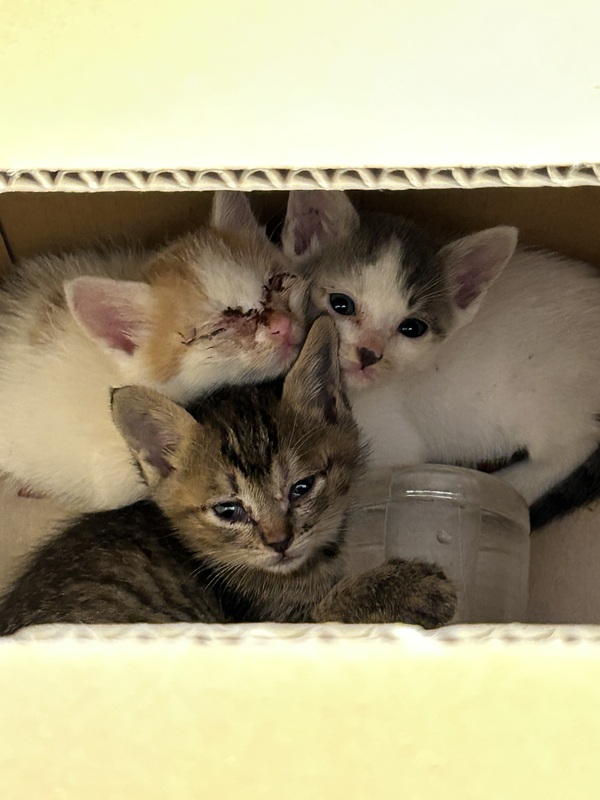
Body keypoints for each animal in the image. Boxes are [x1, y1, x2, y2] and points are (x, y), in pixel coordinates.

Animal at [0, 318, 456, 634]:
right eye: (228, 510)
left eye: (302, 488)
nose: (279, 542)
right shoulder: (269, 625)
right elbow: (325, 614)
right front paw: (404, 589)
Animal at [281, 190, 600, 529]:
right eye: (341, 304)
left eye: (412, 328)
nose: (369, 353)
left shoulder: (397, 446)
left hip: (544, 400)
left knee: (577, 443)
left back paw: (513, 485)